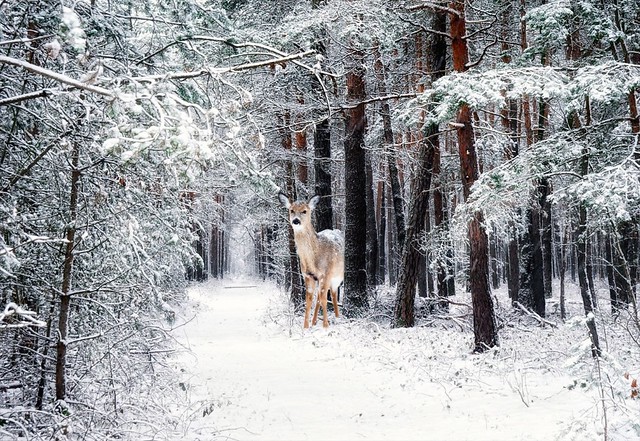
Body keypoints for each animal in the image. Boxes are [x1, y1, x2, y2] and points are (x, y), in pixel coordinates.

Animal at [278, 192, 342, 326]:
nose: (296, 220)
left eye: (304, 211)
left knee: (333, 294)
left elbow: (324, 299)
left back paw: (337, 317)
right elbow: (308, 301)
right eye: (291, 210)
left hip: (337, 275)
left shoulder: (326, 273)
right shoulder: (307, 275)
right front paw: (306, 327)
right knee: (320, 296)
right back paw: (314, 321)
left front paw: (326, 326)